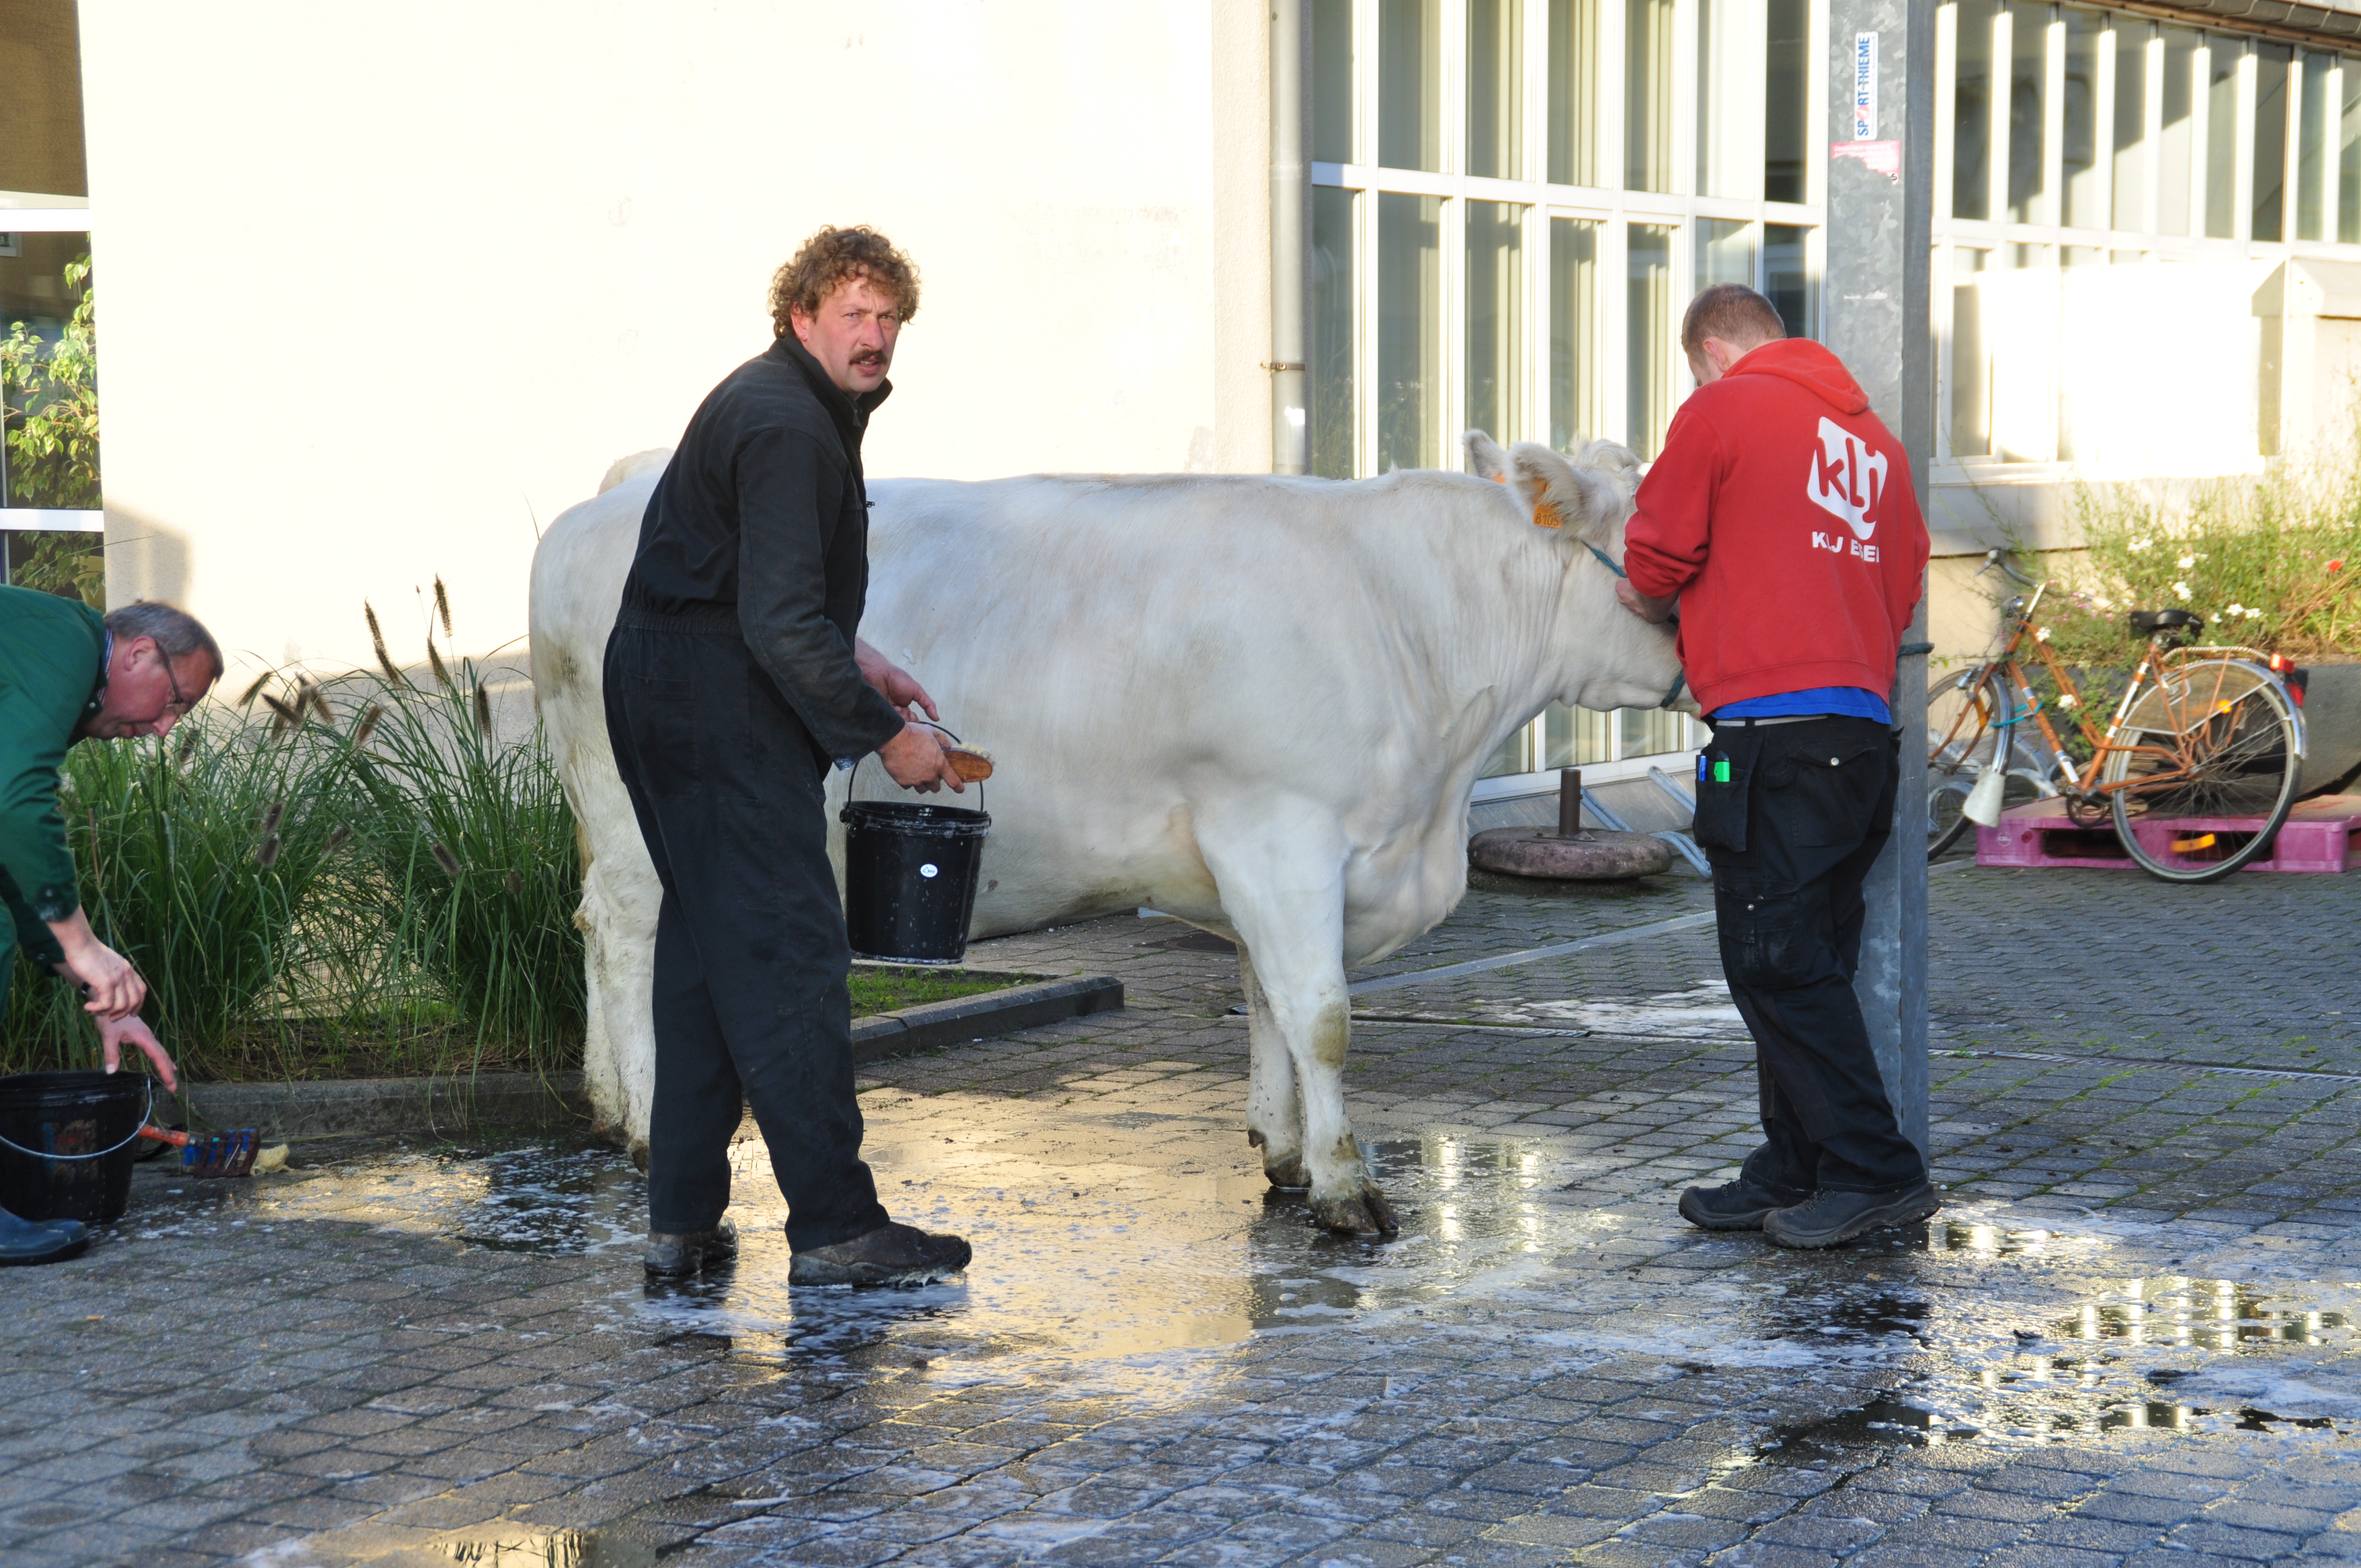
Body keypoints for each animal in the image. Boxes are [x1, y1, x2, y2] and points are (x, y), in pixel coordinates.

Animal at [529, 432, 1690, 1237]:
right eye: (1671, 535)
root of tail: (622, 488)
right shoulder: (1281, 831)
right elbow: (1321, 1017)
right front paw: (1346, 1188)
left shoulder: (1264, 856)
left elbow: (1266, 1000)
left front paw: (1282, 1155)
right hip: (640, 814)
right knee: (626, 941)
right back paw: (644, 1124)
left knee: (591, 930)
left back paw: (607, 1106)